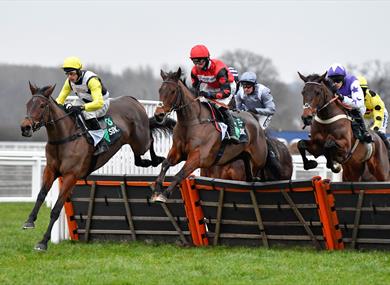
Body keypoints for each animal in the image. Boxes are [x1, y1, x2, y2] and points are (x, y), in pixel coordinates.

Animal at [19, 81, 174, 248]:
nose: (25, 127)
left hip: (140, 140)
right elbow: (41, 195)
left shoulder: (70, 176)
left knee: (150, 139)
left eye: (42, 105)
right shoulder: (50, 170)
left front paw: (43, 242)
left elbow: (56, 209)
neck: (64, 137)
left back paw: (156, 158)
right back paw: (145, 161)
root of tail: (133, 100)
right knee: (139, 156)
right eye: (28, 104)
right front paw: (29, 221)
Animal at [152, 67, 268, 202]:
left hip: (258, 161)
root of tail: (255, 120)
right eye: (160, 90)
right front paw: (156, 190)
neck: (192, 123)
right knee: (249, 178)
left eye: (173, 91)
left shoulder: (199, 157)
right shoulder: (177, 152)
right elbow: (165, 164)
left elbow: (180, 174)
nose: (158, 115)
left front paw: (164, 194)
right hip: (243, 159)